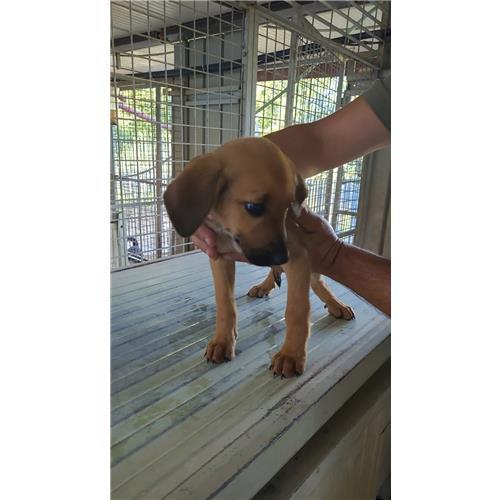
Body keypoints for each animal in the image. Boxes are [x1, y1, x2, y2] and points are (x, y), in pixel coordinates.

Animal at [164, 137, 354, 378]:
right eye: (254, 207)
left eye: (287, 208)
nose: (282, 256)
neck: (230, 233)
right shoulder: (219, 258)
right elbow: (225, 304)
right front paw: (222, 340)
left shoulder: (299, 257)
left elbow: (297, 311)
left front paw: (291, 354)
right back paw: (265, 285)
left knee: (317, 282)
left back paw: (336, 303)